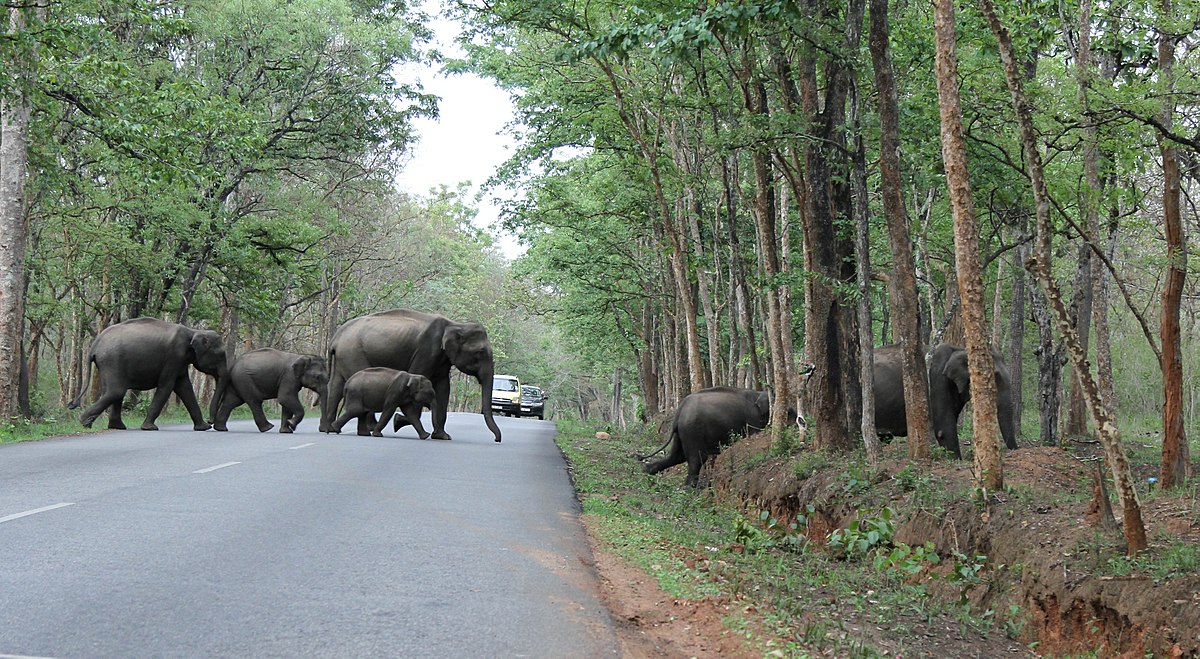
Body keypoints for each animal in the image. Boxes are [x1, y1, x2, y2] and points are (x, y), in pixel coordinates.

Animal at [69, 316, 228, 429]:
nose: (211, 421)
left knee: (113, 391)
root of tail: (95, 343)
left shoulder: (180, 362)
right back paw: (84, 422)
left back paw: (116, 427)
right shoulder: (174, 357)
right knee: (116, 391)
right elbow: (167, 387)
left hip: (106, 363)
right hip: (112, 359)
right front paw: (149, 428)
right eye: (221, 355)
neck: (193, 331)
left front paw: (203, 428)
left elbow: (185, 388)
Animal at [314, 307, 501, 441]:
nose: (496, 440)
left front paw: (442, 437)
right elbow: (419, 376)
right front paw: (399, 420)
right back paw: (369, 428)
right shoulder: (427, 350)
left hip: (343, 356)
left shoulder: (442, 359)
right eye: (480, 352)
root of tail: (336, 337)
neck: (455, 324)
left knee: (336, 386)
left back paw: (327, 428)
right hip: (353, 353)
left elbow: (443, 388)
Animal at [868, 343, 1017, 458]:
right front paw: (956, 460)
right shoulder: (937, 382)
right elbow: (944, 428)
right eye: (994, 377)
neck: (960, 349)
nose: (1014, 450)